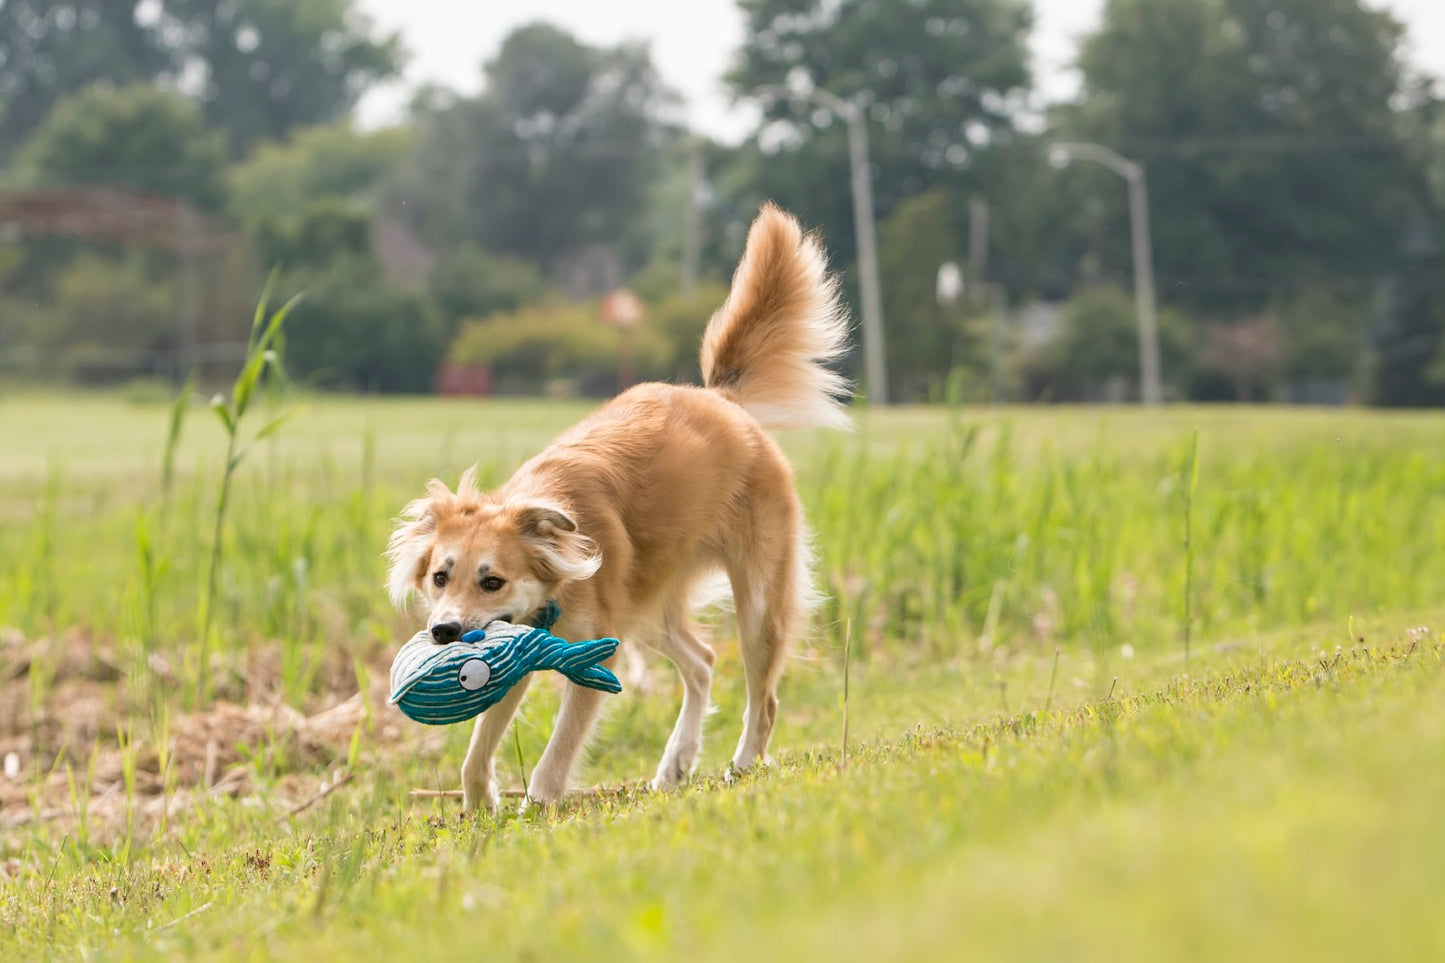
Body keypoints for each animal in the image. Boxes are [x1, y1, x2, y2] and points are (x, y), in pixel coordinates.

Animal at [384, 203, 849, 809]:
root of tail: (722, 401)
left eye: (492, 581)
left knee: (762, 701)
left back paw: (742, 765)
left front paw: (537, 805)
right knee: (702, 663)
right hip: (645, 606)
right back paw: (676, 762)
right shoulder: (516, 651)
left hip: (756, 602)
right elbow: (476, 750)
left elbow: (558, 751)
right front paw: (481, 805)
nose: (443, 633)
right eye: (440, 577)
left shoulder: (593, 654)